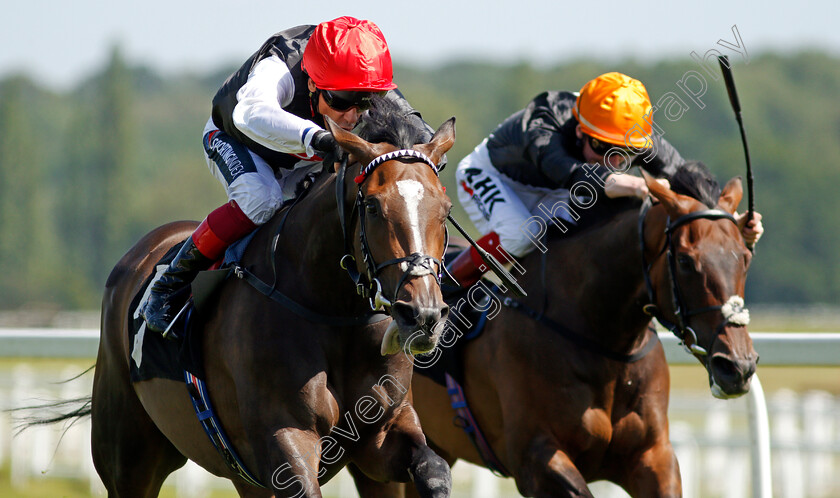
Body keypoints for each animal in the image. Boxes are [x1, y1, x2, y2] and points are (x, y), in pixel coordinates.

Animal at [91, 99, 456, 496]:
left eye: (446, 209)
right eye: (373, 206)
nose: (422, 314)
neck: (333, 310)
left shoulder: (383, 432)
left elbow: (435, 470)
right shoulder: (285, 439)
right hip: (129, 457)